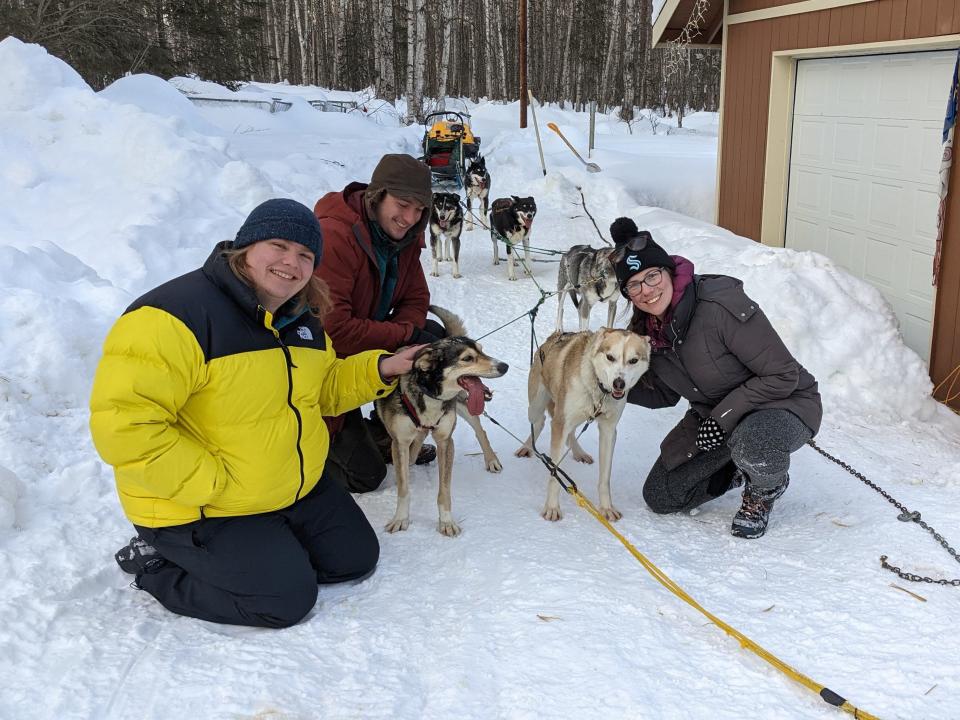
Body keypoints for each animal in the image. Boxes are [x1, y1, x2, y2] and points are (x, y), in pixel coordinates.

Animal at [376, 304, 510, 536]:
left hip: (464, 405)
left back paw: (491, 459)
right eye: (467, 358)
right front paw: (401, 518)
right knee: (417, 443)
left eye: (482, 350)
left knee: (480, 430)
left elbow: (444, 491)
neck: (429, 396)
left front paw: (446, 522)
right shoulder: (399, 442)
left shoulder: (446, 442)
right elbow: (404, 488)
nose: (504, 366)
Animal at [516, 330, 652, 520]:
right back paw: (527, 447)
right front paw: (552, 507)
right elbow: (555, 473)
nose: (619, 383)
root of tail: (554, 335)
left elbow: (605, 478)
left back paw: (578, 452)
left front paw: (606, 508)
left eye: (633, 360)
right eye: (610, 357)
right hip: (536, 406)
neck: (600, 390)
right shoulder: (561, 423)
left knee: (570, 433)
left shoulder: (608, 431)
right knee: (540, 421)